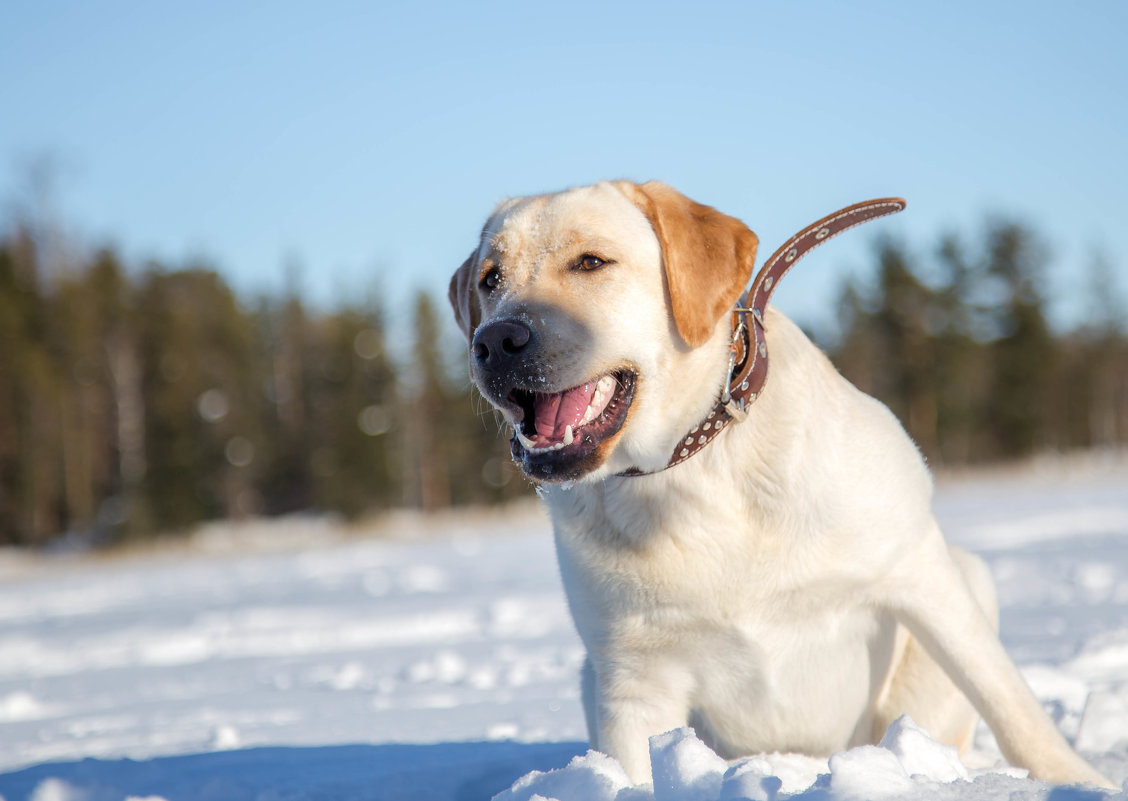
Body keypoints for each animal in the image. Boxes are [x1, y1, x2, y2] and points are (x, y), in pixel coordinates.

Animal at [446, 181, 1109, 789]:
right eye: (490, 279)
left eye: (590, 262)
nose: (495, 341)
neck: (689, 468)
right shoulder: (633, 679)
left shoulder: (918, 571)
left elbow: (1009, 701)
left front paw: (1079, 781)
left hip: (967, 577)